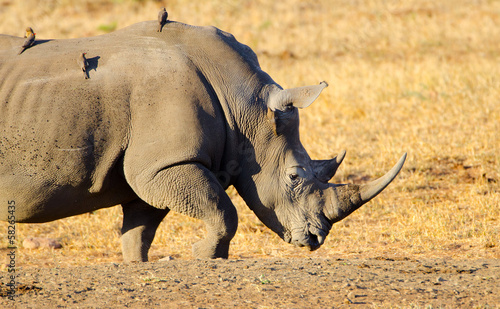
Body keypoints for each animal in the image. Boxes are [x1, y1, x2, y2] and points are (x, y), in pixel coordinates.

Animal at [0, 20, 404, 260]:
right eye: (294, 177)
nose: (316, 239)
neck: (246, 106)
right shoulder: (168, 163)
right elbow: (223, 211)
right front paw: (204, 257)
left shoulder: (155, 167)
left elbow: (139, 231)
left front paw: (138, 267)